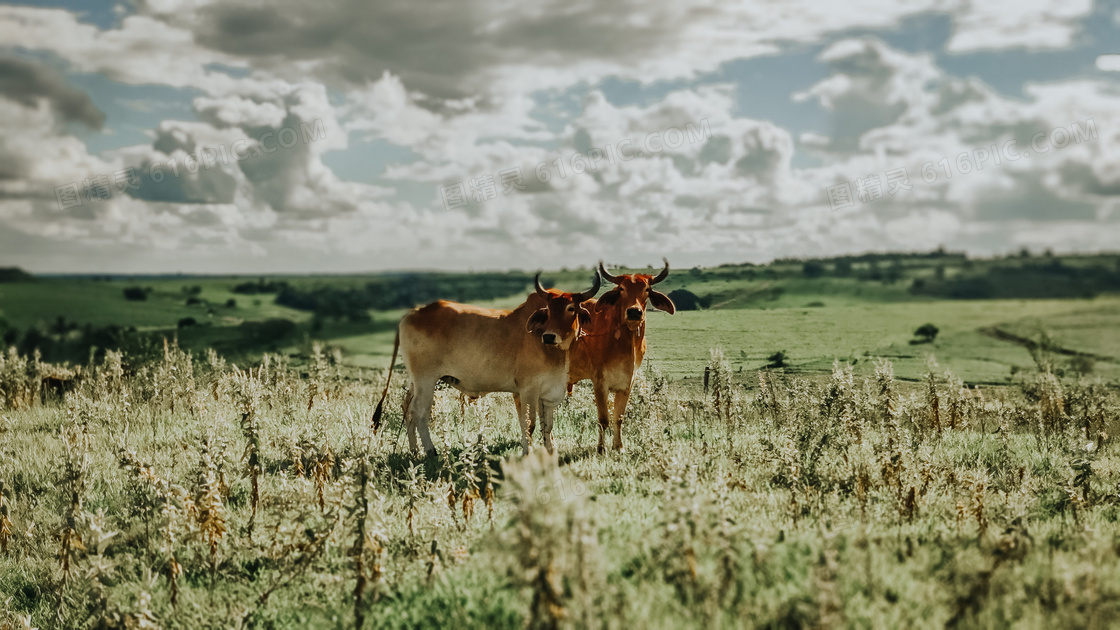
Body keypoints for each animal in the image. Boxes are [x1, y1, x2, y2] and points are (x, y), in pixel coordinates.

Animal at [371, 272, 600, 452]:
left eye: (571, 308)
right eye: (548, 310)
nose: (549, 336)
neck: (555, 352)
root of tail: (413, 313)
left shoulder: (547, 395)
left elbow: (547, 427)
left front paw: (549, 452)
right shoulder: (528, 391)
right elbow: (529, 425)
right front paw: (528, 454)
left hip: (415, 381)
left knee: (407, 408)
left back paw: (413, 450)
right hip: (426, 379)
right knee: (419, 412)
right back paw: (430, 451)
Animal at [568, 258, 672, 450]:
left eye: (647, 289)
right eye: (622, 289)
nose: (634, 312)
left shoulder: (627, 384)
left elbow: (619, 417)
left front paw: (619, 446)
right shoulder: (600, 383)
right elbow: (603, 419)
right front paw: (601, 449)